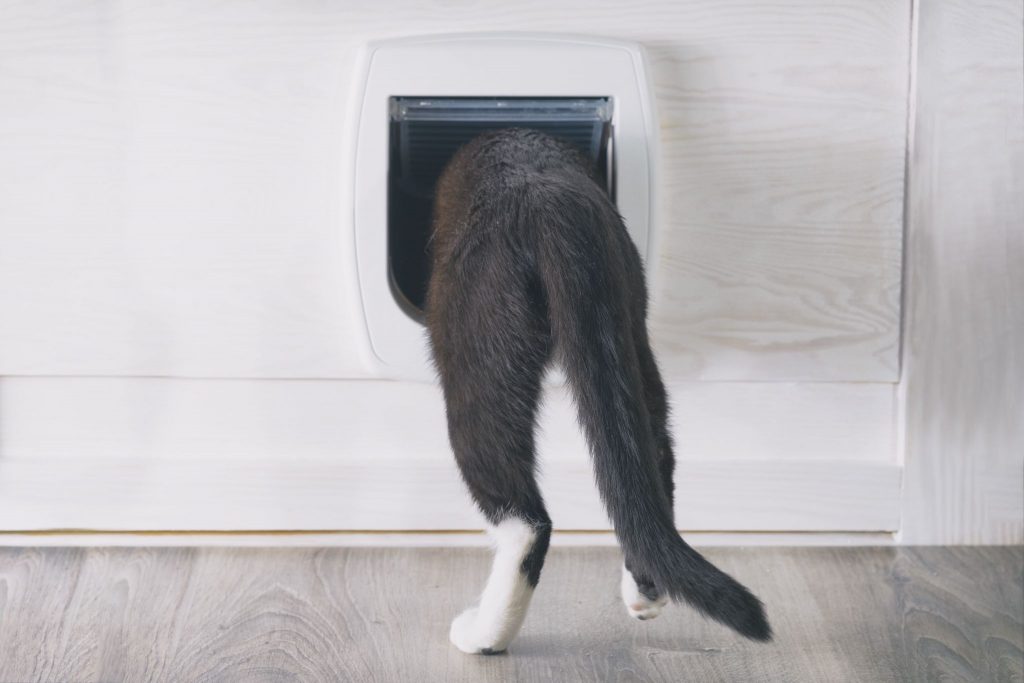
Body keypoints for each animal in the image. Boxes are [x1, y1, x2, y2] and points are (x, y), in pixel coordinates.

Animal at [423, 125, 770, 655]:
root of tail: (547, 198)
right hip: (630, 325)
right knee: (653, 460)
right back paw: (646, 594)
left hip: (477, 339)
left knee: (526, 519)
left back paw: (484, 635)